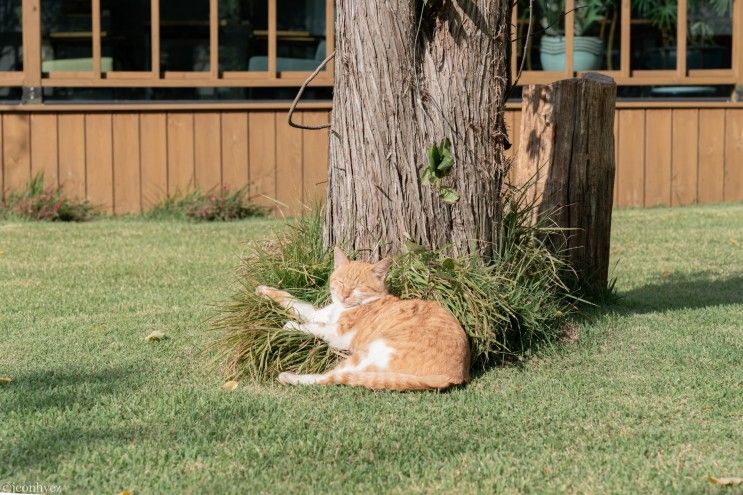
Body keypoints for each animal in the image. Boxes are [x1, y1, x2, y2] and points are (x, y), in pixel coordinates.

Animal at [253, 248, 468, 392]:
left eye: (358, 287)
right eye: (340, 282)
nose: (344, 295)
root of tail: (453, 376)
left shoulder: (338, 334)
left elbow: (314, 327)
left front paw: (291, 325)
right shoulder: (317, 313)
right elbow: (294, 302)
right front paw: (263, 290)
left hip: (370, 353)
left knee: (333, 377)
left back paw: (288, 377)